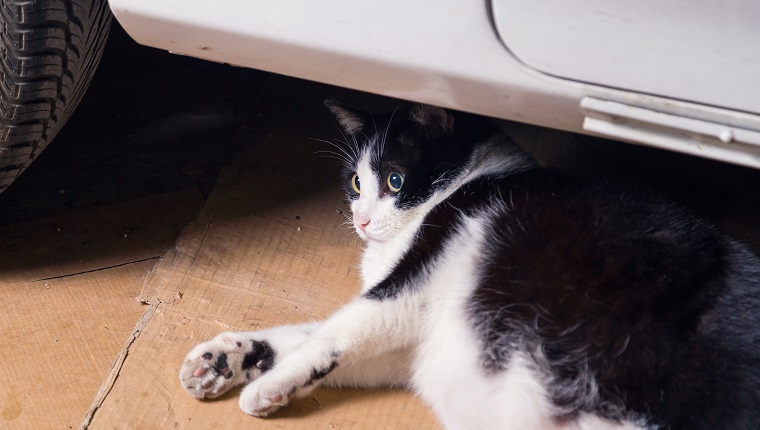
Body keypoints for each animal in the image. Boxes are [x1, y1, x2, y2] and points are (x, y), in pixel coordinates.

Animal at [177, 101, 760, 430]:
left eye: (395, 180)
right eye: (356, 183)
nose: (361, 220)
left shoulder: (411, 287)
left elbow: (337, 330)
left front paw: (262, 387)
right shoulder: (412, 345)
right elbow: (313, 335)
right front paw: (225, 359)